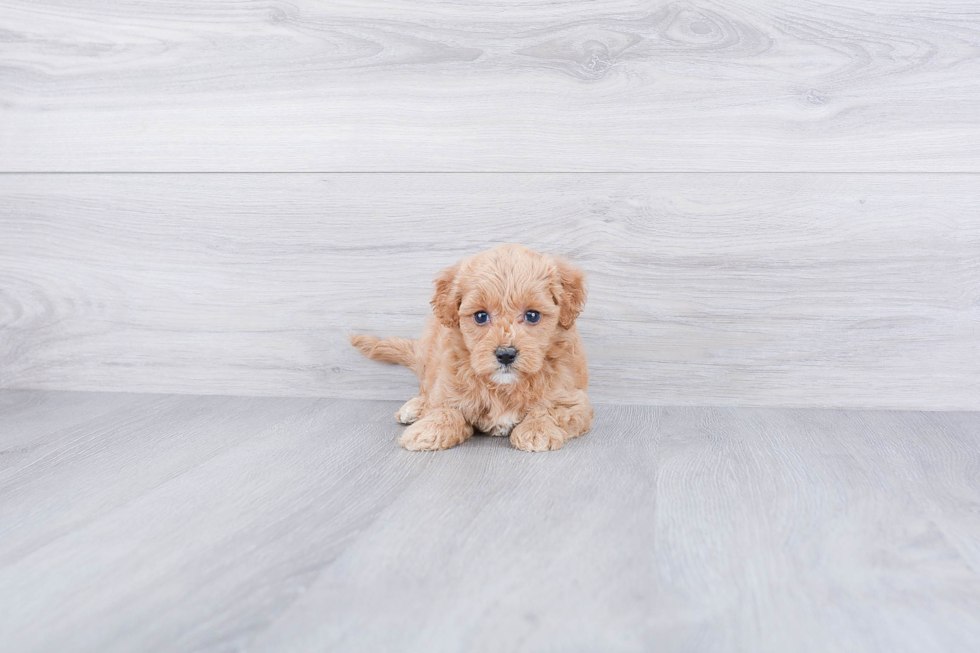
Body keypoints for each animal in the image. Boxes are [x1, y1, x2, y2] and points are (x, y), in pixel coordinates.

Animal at [348, 242, 592, 450]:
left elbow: (550, 410)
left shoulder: (574, 400)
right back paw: (415, 407)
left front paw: (536, 431)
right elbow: (445, 410)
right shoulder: (447, 387)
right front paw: (428, 430)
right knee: (426, 388)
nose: (505, 354)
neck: (503, 386)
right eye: (481, 316)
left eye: (532, 315)